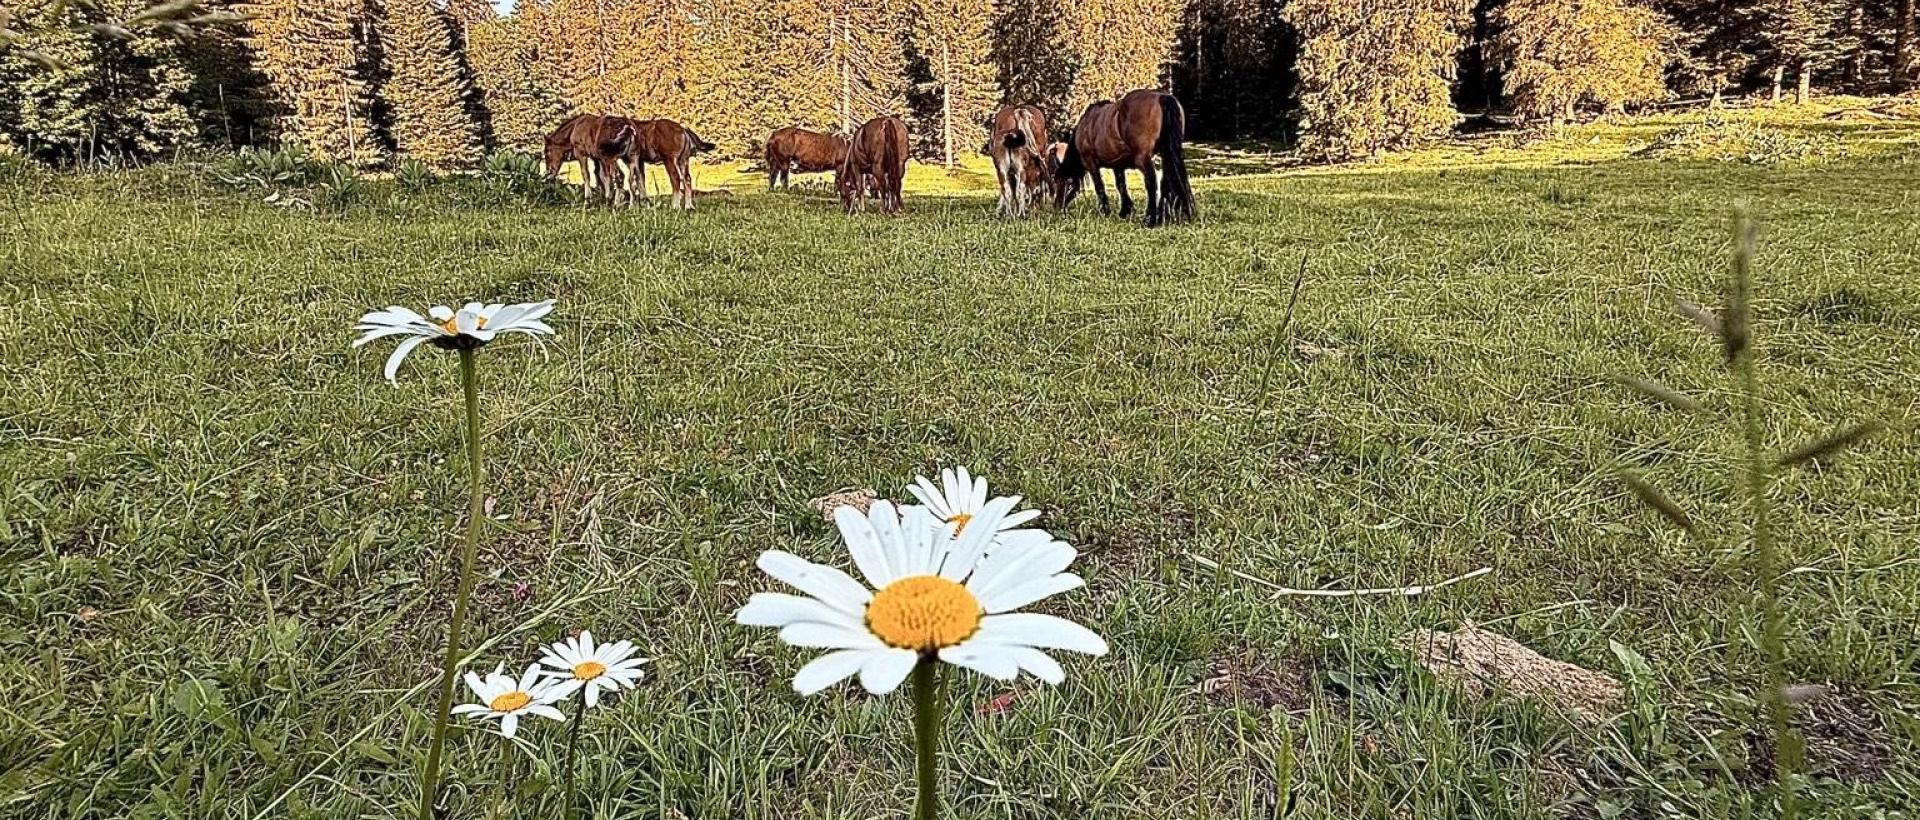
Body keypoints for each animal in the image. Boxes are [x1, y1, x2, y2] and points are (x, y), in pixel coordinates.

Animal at [1053, 89, 1196, 226]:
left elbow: (1099, 186)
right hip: (1165, 154)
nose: (1057, 206)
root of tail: (1162, 97)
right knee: (1166, 181)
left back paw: (1150, 219)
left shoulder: (1090, 163)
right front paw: (1125, 211)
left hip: (1142, 159)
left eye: (1064, 182)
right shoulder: (1118, 165)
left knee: (1151, 182)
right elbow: (1121, 185)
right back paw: (1163, 216)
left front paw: (1105, 211)